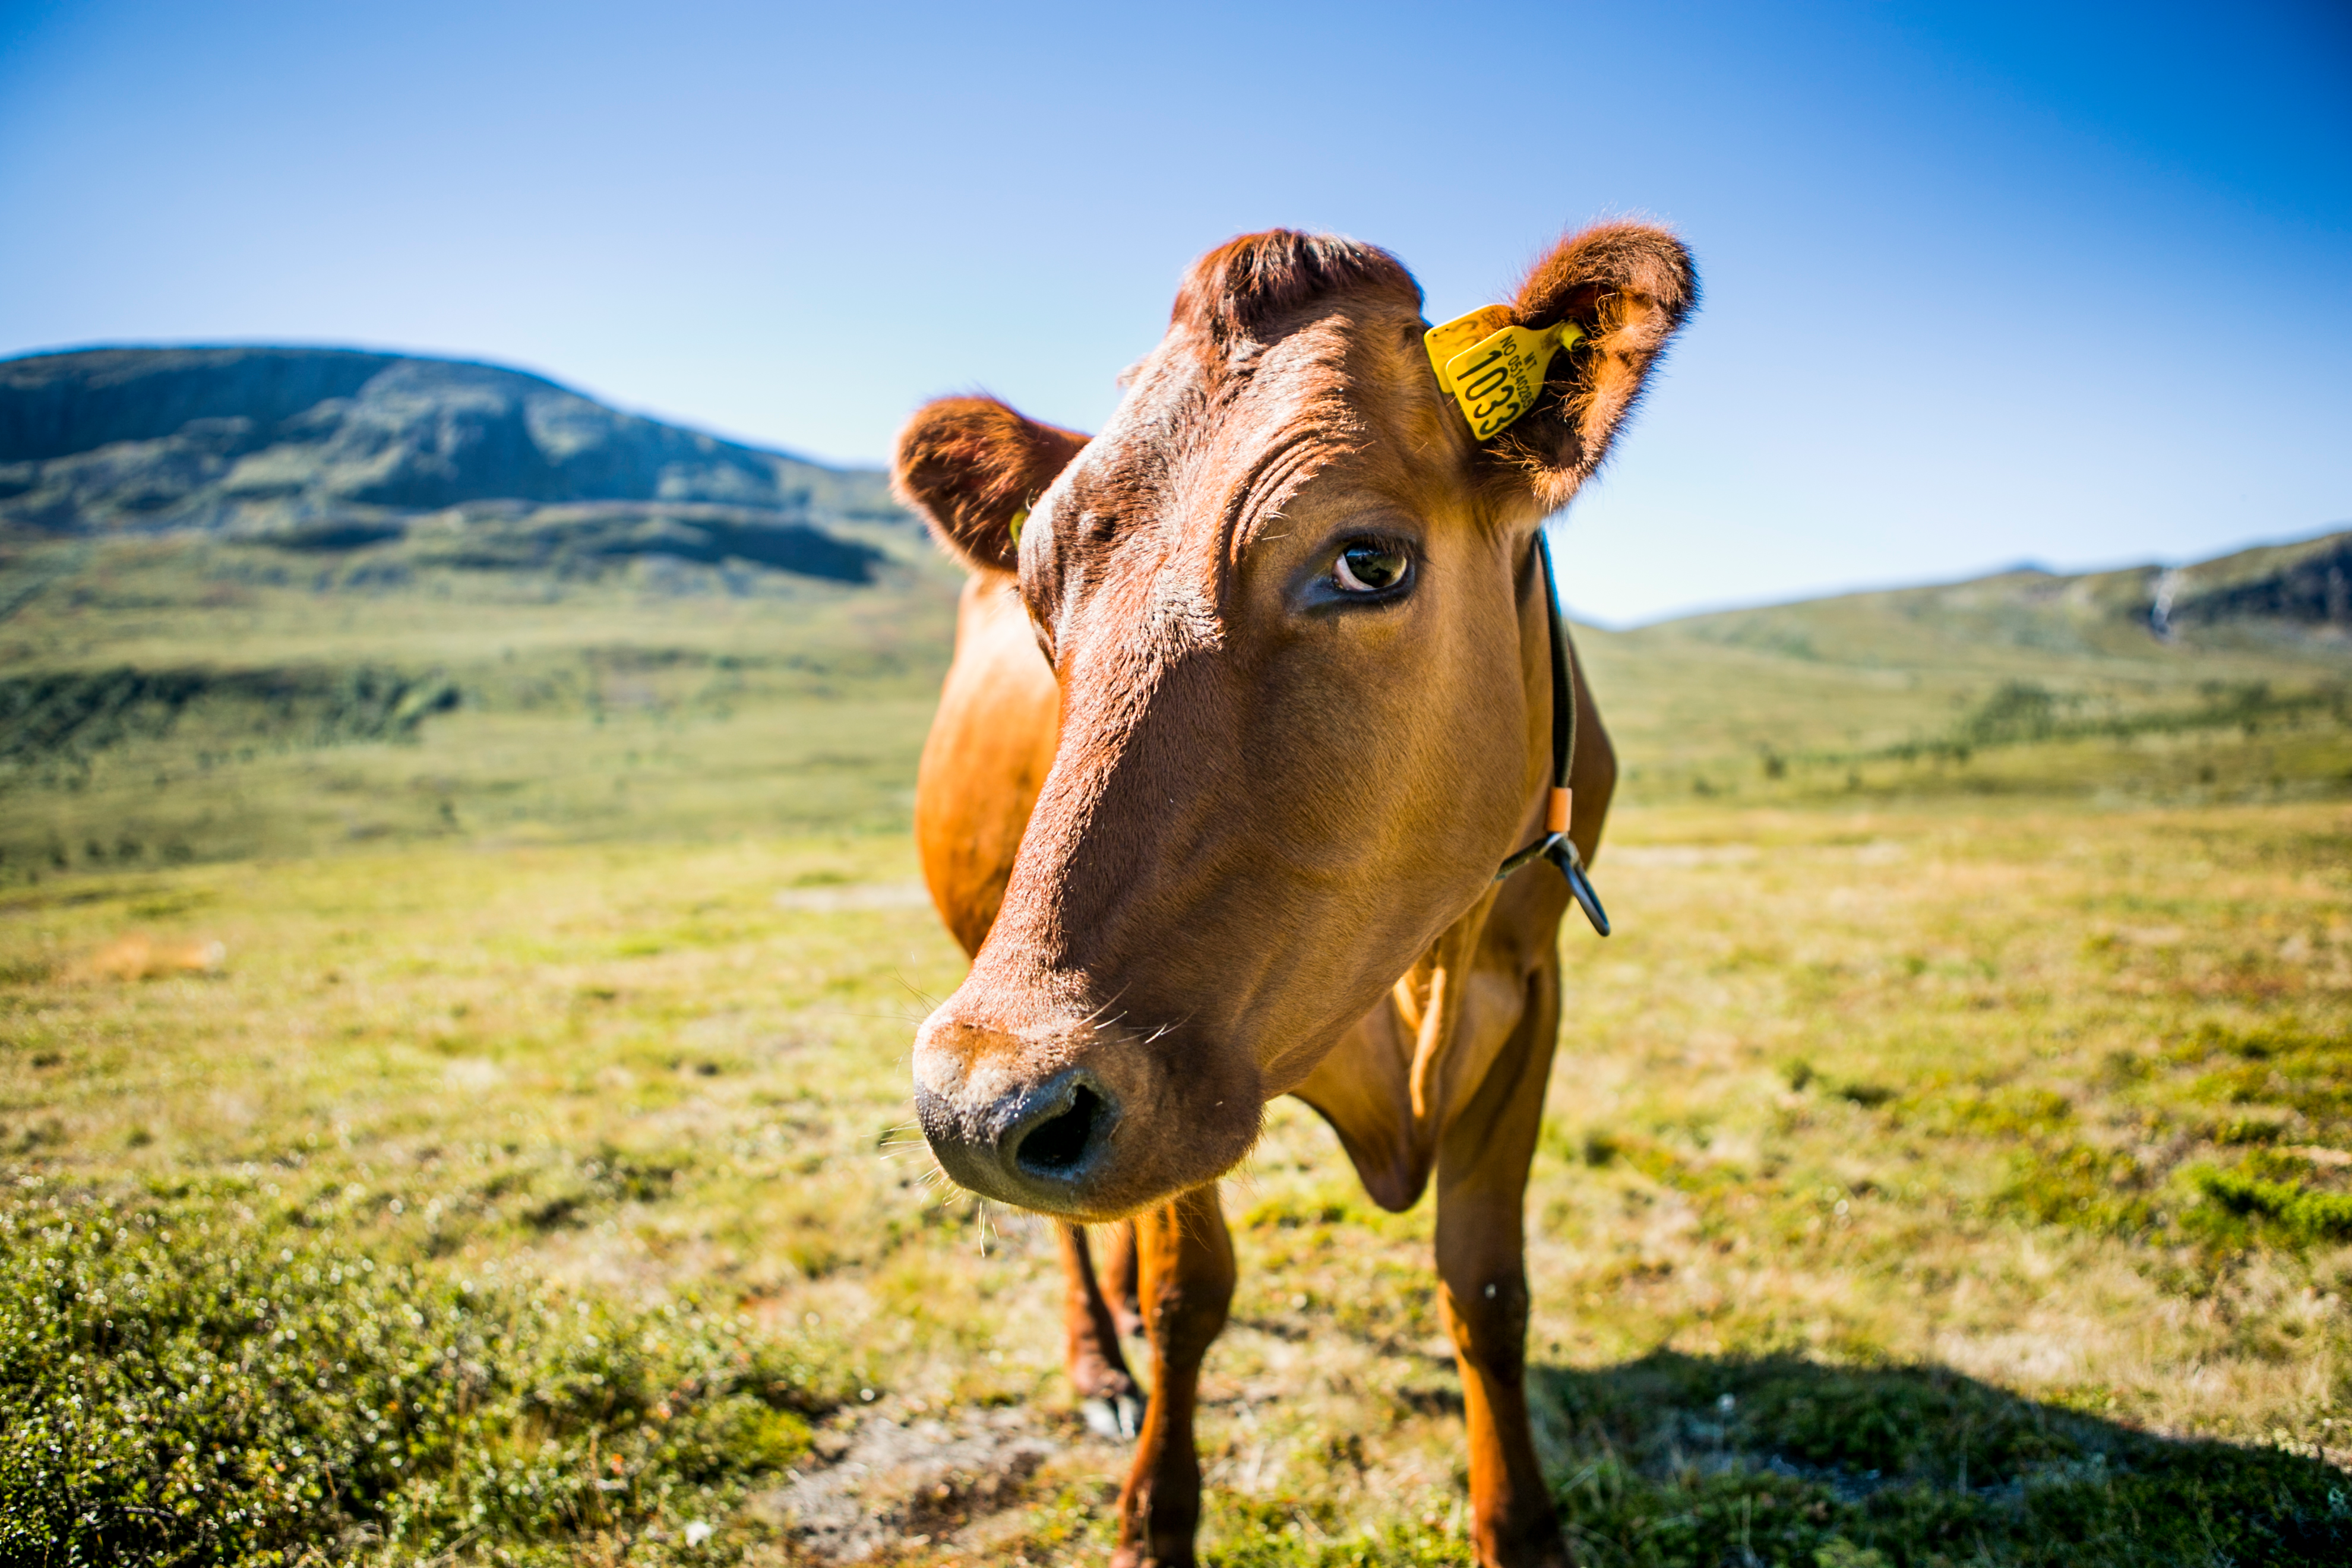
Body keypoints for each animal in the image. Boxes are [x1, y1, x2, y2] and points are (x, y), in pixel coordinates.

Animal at [893, 221, 1696, 1568]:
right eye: (1042, 601)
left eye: (1368, 561)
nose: (975, 1105)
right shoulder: (1176, 1053)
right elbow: (1189, 1291)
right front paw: (1153, 1517)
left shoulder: (1530, 990)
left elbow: (1487, 1286)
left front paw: (1521, 1526)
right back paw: (1098, 1363)